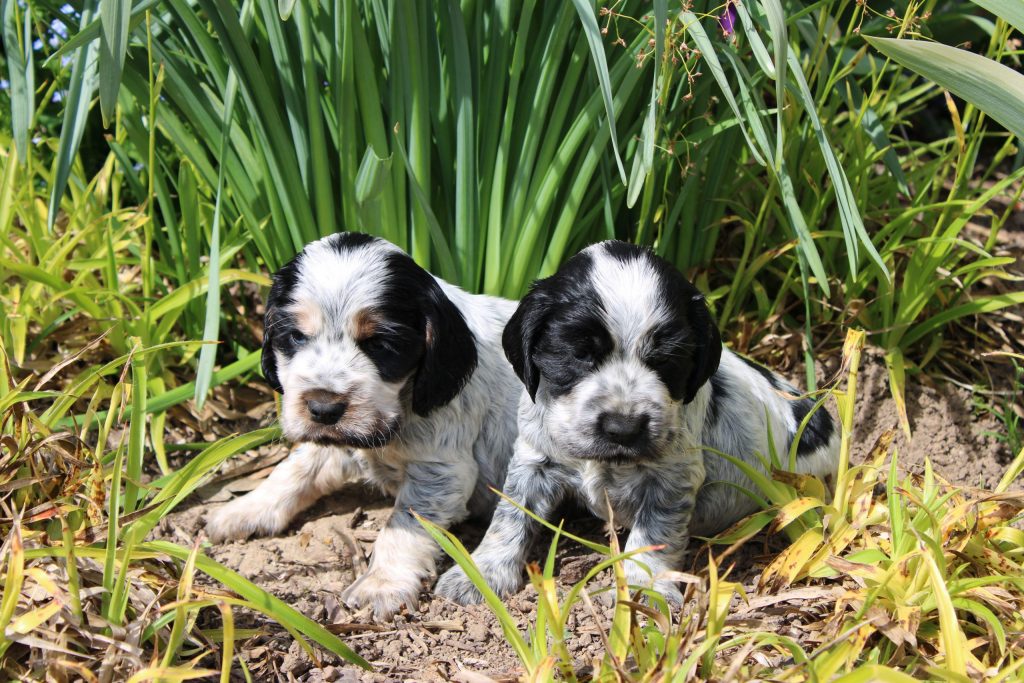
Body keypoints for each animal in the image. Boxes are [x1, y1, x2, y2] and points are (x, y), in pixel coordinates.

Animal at [207, 232, 521, 619]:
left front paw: (380, 584)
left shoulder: (441, 470)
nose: (323, 407)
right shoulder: (339, 438)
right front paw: (246, 509)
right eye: (296, 337)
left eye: (381, 344)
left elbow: (402, 527)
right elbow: (295, 469)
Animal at [436, 240, 839, 605]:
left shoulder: (671, 478)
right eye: (579, 353)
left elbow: (654, 534)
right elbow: (510, 517)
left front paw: (645, 589)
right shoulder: (534, 458)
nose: (623, 429)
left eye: (667, 359)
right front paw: (480, 574)